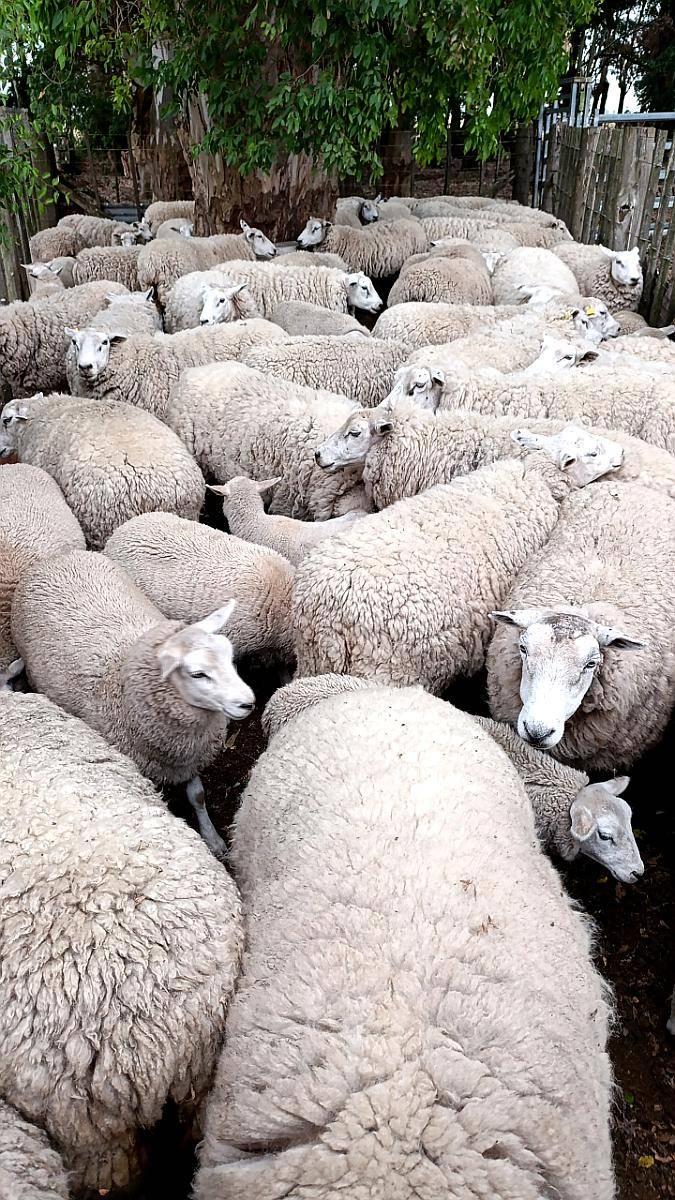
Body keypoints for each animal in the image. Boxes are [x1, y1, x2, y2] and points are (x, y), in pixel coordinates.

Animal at [295, 216, 429, 277]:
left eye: (316, 228)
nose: (299, 240)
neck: (339, 239)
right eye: (306, 226)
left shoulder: (352, 268)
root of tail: (416, 225)